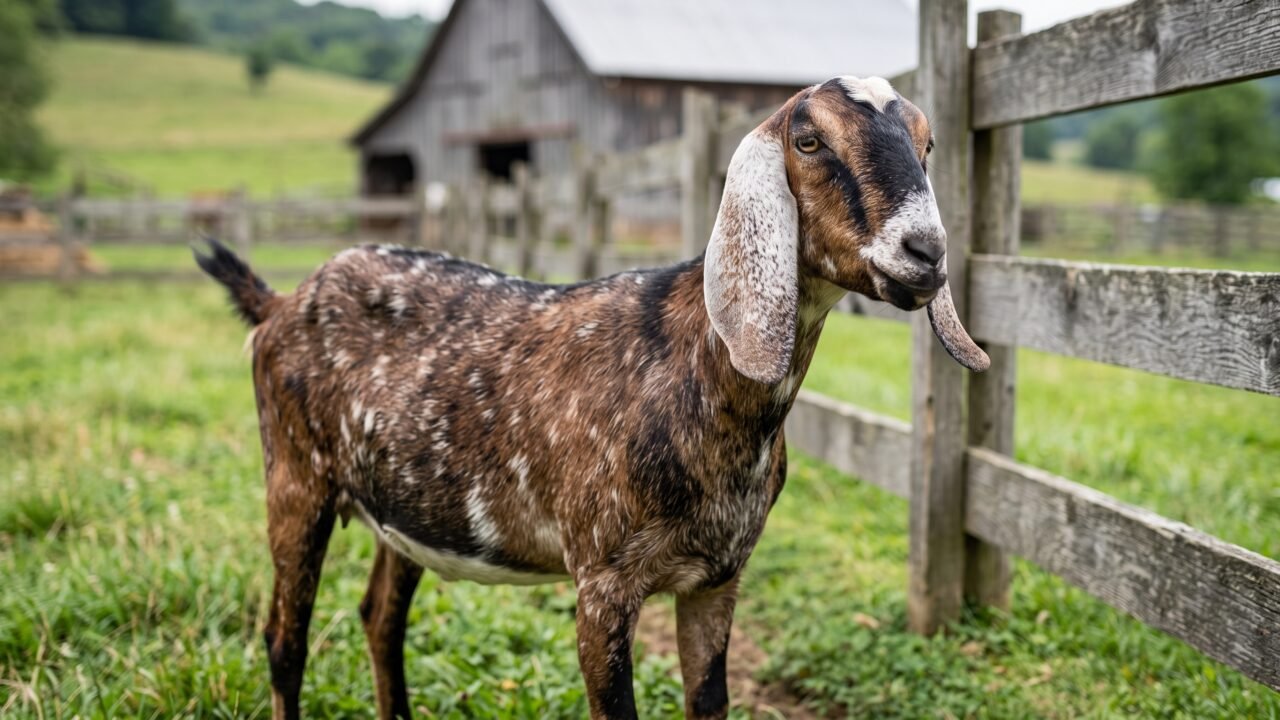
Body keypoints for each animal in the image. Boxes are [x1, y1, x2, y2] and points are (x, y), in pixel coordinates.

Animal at [196, 75, 988, 720]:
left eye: (928, 142)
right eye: (809, 138)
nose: (926, 253)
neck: (694, 375)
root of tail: (278, 303)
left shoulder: (719, 577)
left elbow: (710, 700)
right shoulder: (601, 583)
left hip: (407, 506)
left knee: (379, 619)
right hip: (294, 478)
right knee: (284, 641)